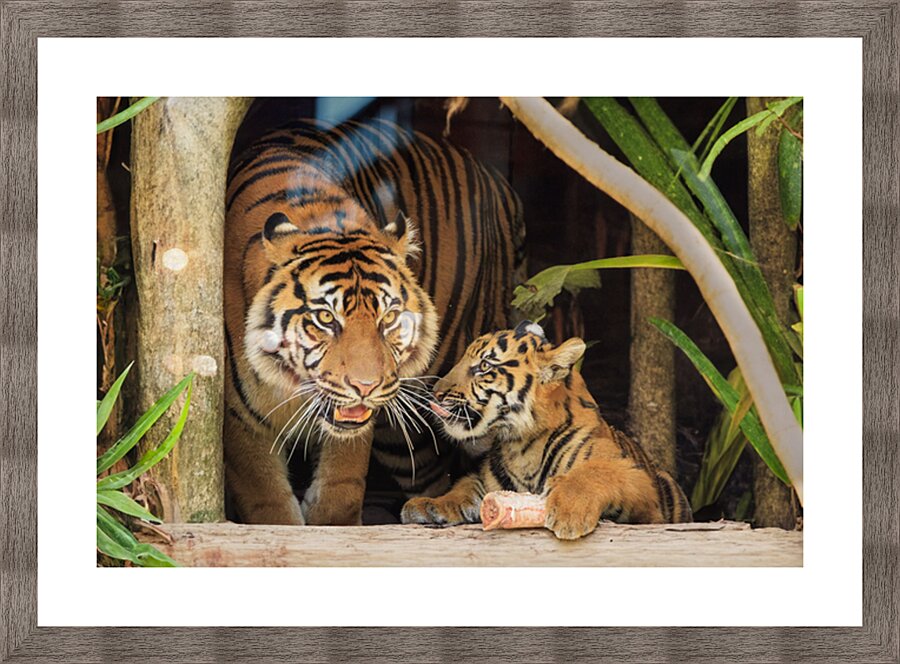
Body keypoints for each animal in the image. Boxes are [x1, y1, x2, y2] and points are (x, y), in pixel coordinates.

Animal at [224, 117, 525, 525]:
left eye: (390, 317)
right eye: (325, 317)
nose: (365, 387)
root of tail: (496, 180)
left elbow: (340, 491)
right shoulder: (241, 421)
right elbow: (269, 506)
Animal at [401, 321, 692, 539]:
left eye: (484, 366)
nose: (435, 394)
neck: (521, 446)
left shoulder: (639, 483)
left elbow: (596, 472)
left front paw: (569, 511)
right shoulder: (488, 480)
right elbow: (465, 487)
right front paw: (429, 505)